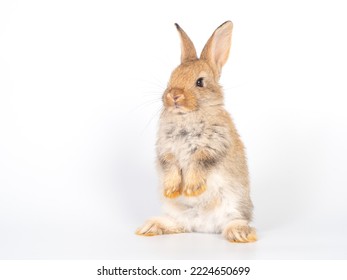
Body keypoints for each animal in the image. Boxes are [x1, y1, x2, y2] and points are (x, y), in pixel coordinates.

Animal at [137, 20, 256, 242]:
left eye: (199, 82)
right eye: (171, 77)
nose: (174, 95)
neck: (186, 115)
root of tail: (203, 226)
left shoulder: (214, 145)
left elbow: (199, 161)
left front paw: (191, 188)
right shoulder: (166, 148)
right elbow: (171, 165)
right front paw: (172, 189)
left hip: (233, 205)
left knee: (233, 221)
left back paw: (239, 234)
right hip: (176, 213)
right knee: (178, 225)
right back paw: (150, 227)